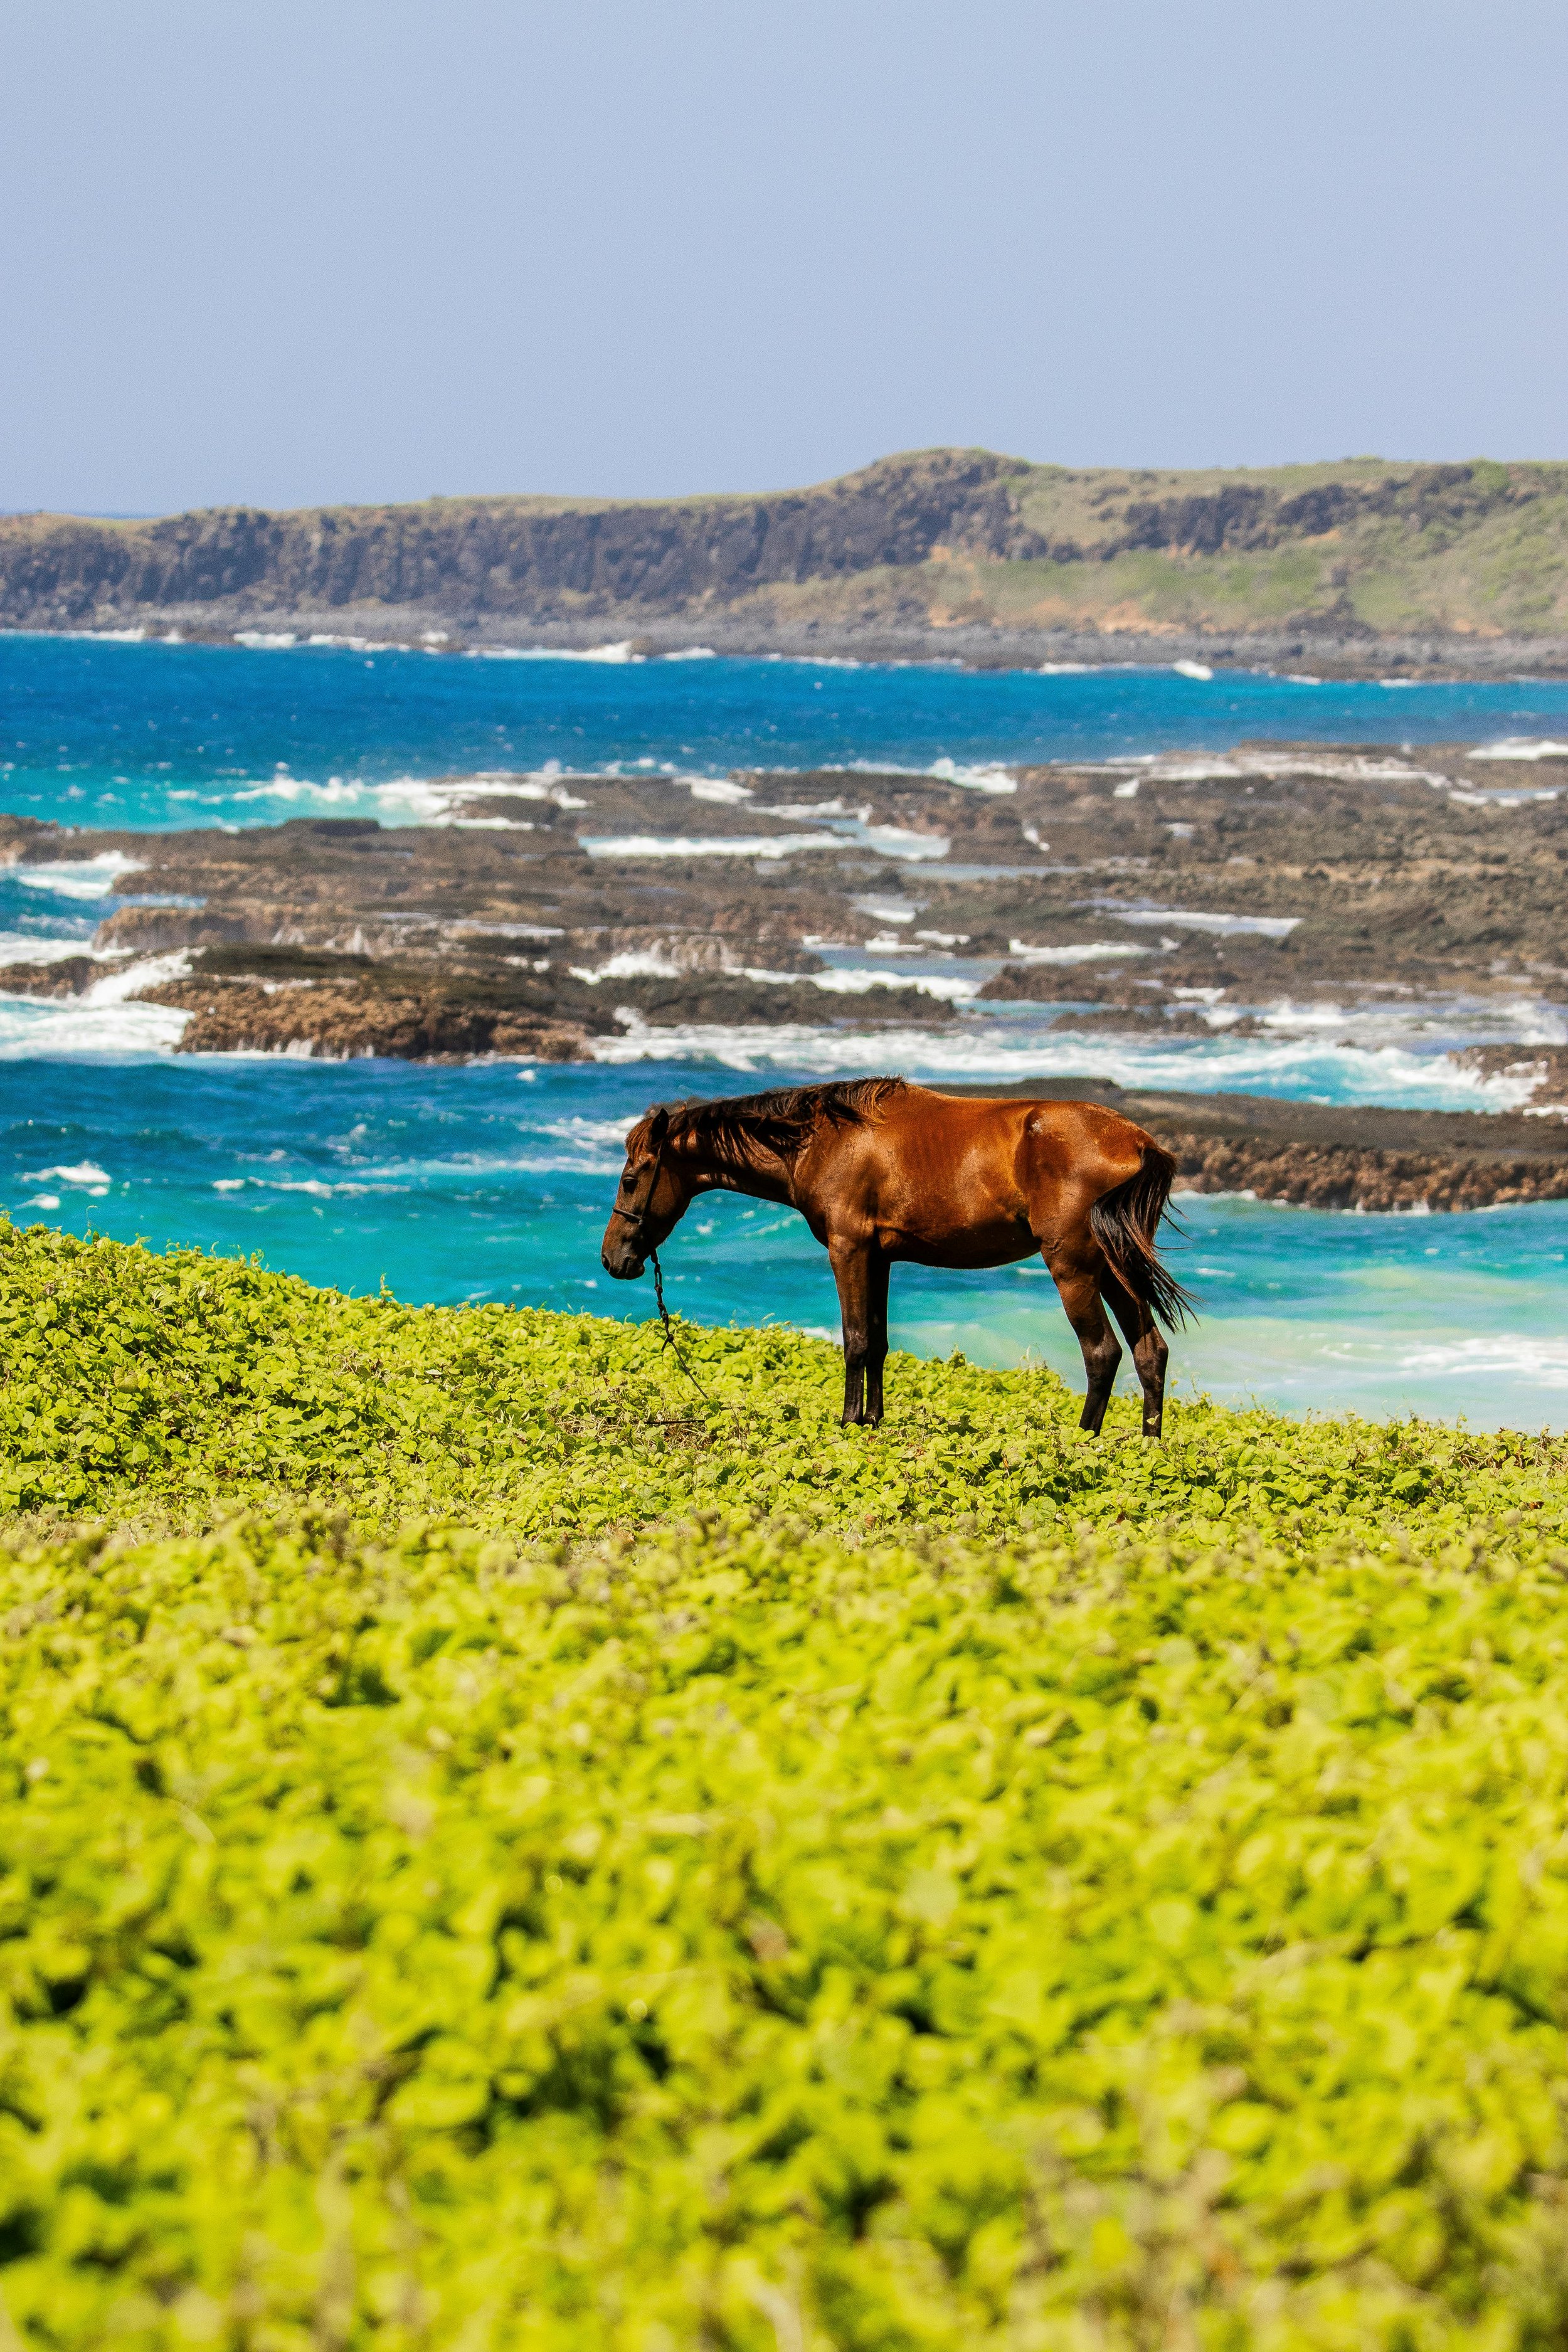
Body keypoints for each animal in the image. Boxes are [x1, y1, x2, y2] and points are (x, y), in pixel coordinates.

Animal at [600, 1077, 1190, 1435]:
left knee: (1102, 1353)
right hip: (1116, 1267)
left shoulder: (848, 1250)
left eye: (631, 1179)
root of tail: (1139, 1143)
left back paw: (1084, 1440)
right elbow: (879, 1343)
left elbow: (856, 1341)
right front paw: (873, 1422)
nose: (612, 1260)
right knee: (1150, 1351)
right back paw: (1148, 1444)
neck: (824, 1139)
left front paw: (847, 1422)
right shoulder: (878, 1258)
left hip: (1074, 1267)